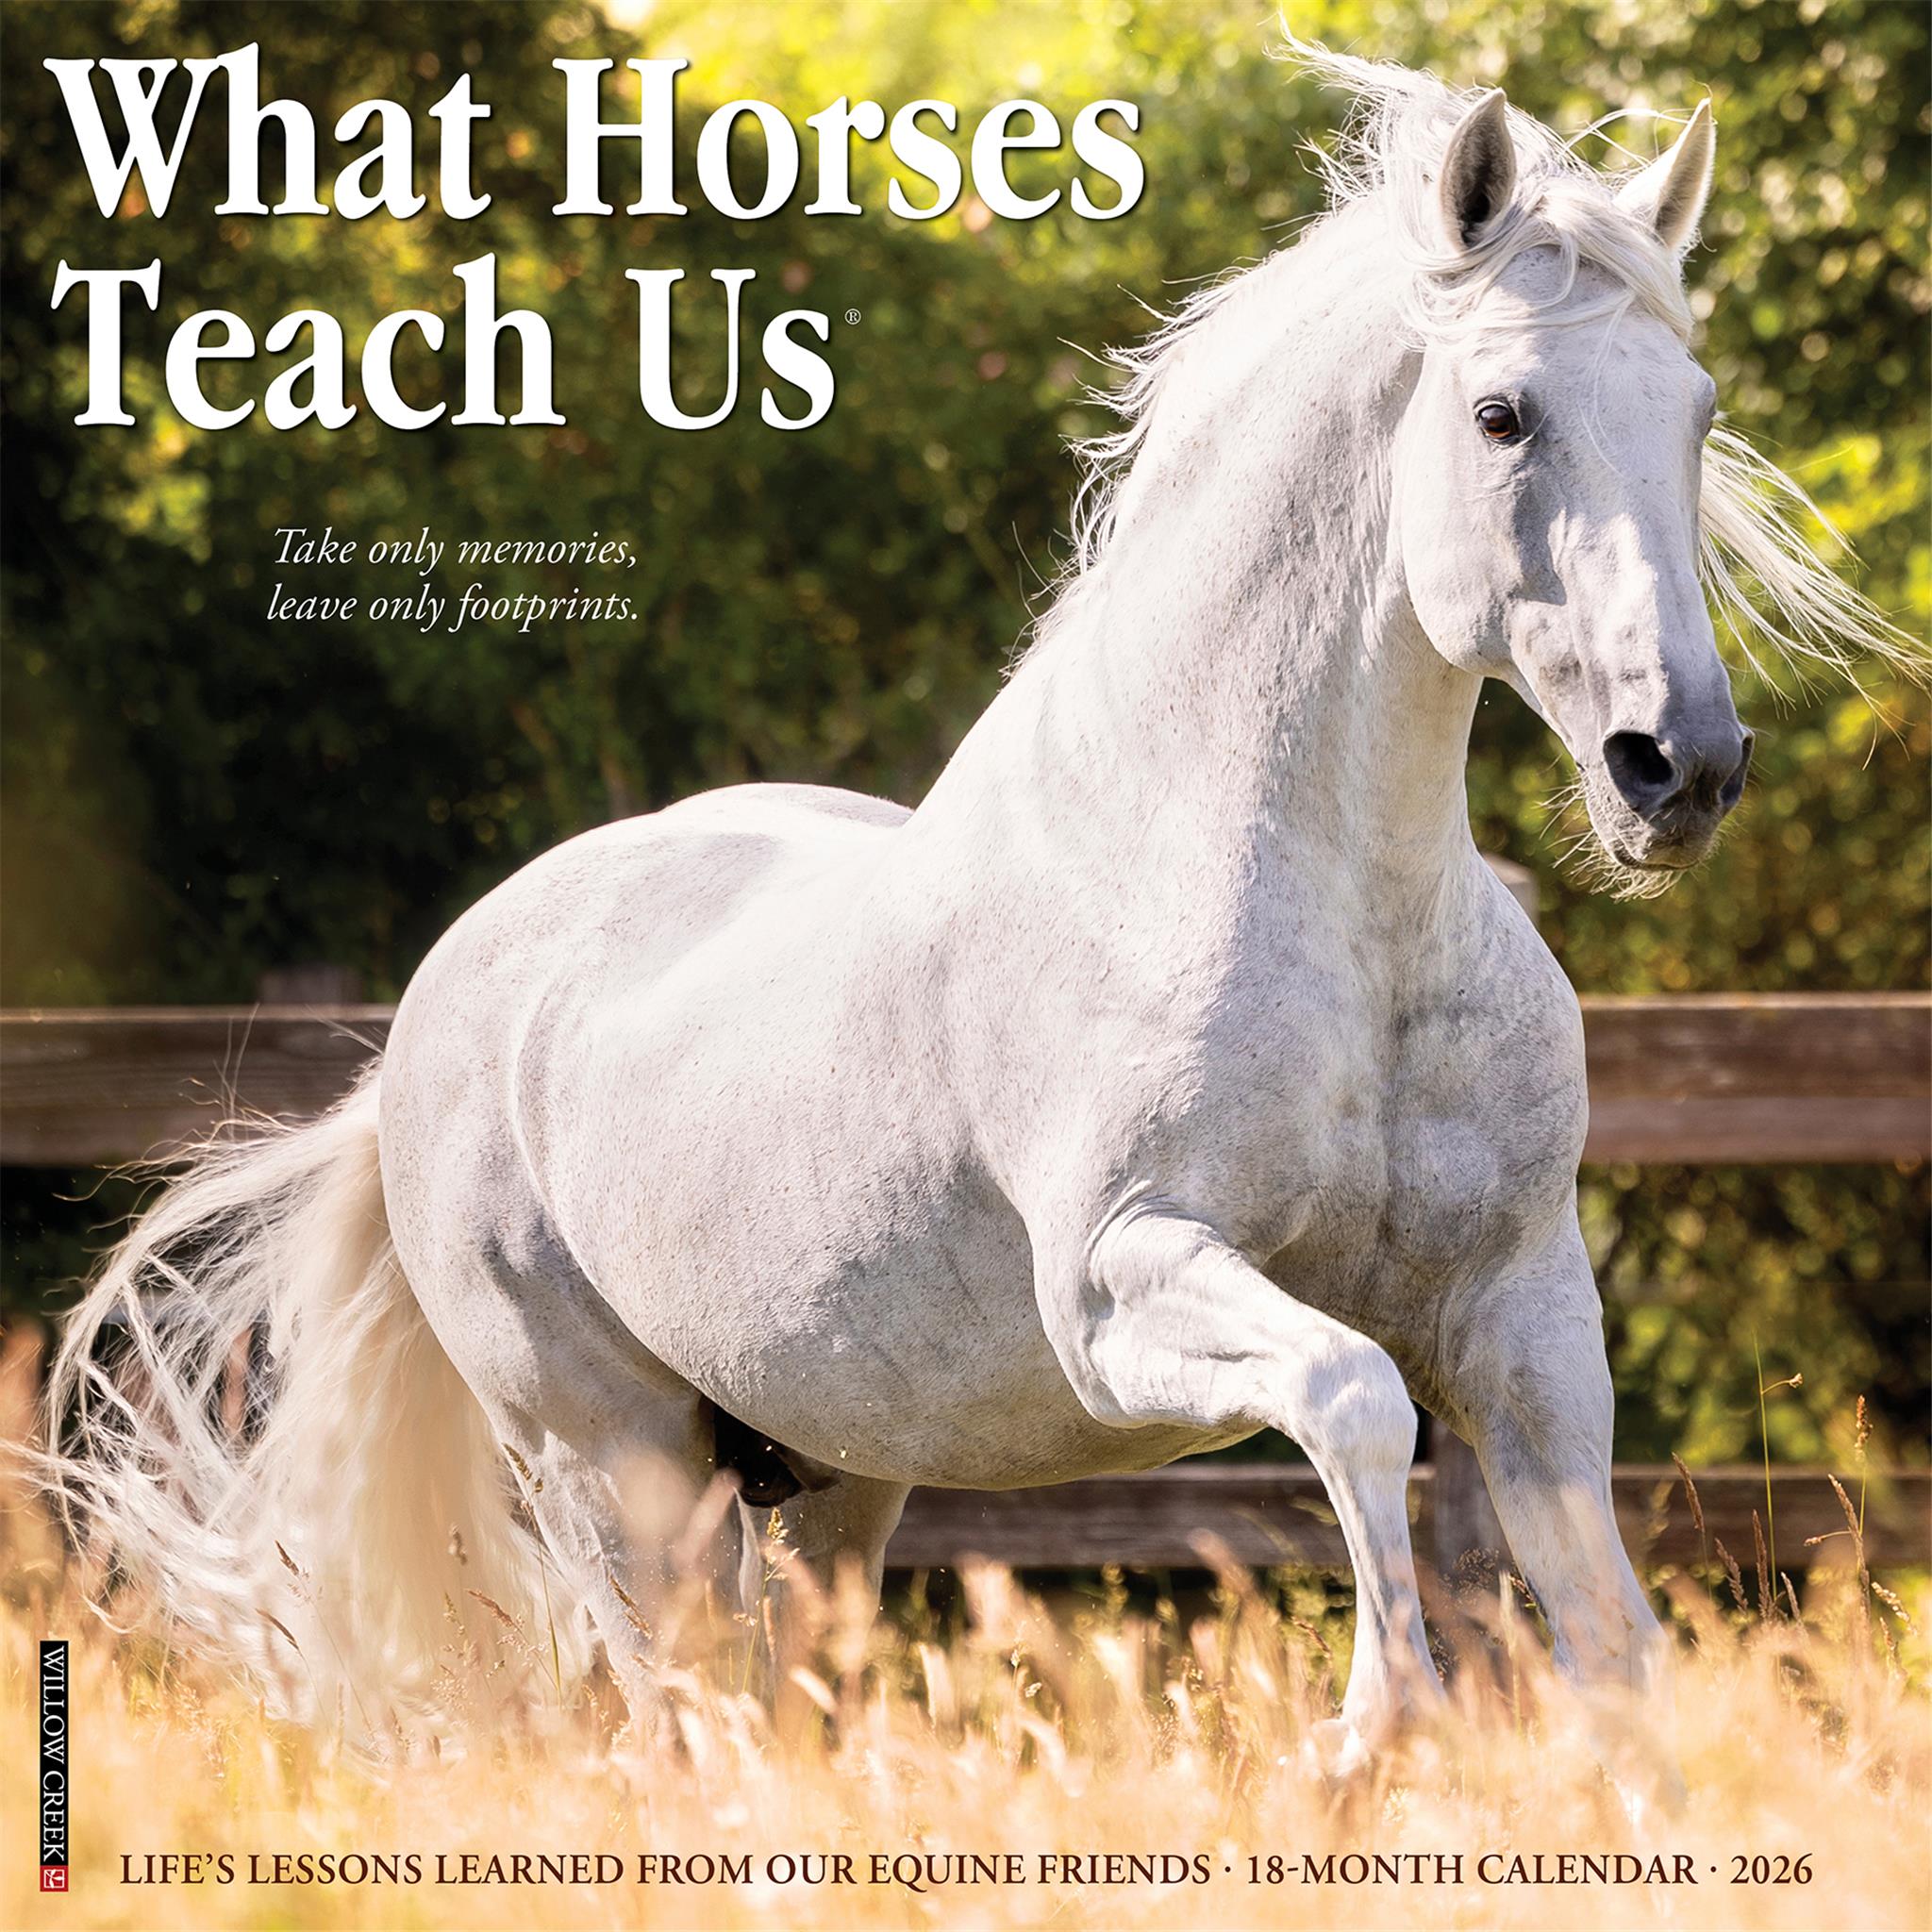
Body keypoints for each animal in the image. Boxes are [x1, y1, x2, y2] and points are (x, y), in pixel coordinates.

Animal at [46, 46, 1907, 1767]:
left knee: (778, 1692)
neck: (1332, 918)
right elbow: (1352, 1398)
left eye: (1695, 411)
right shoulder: (1123, 1289)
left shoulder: (1521, 1310)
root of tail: (433, 1020)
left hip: (830, 1472)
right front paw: (1371, 1733)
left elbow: (1606, 1632)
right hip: (615, 1466)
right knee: (676, 1712)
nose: (1677, 768)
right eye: (1502, 412)